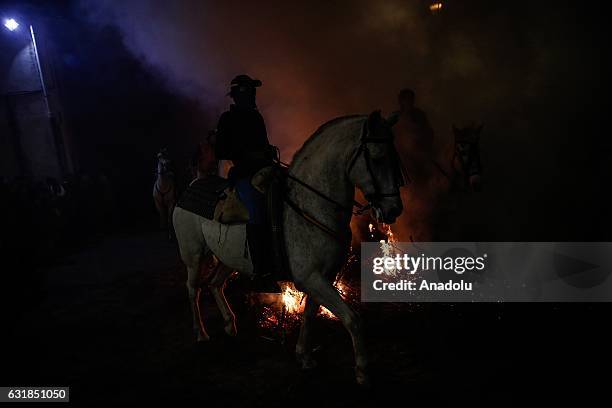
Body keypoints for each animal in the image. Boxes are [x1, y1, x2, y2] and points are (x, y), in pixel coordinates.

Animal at [172, 110, 404, 384]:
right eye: (377, 158)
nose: (394, 209)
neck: (310, 206)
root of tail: (193, 185)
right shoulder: (312, 278)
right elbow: (352, 318)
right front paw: (363, 369)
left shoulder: (322, 277)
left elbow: (310, 315)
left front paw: (304, 356)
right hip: (194, 256)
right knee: (193, 289)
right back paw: (201, 332)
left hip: (228, 259)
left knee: (215, 284)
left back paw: (230, 324)